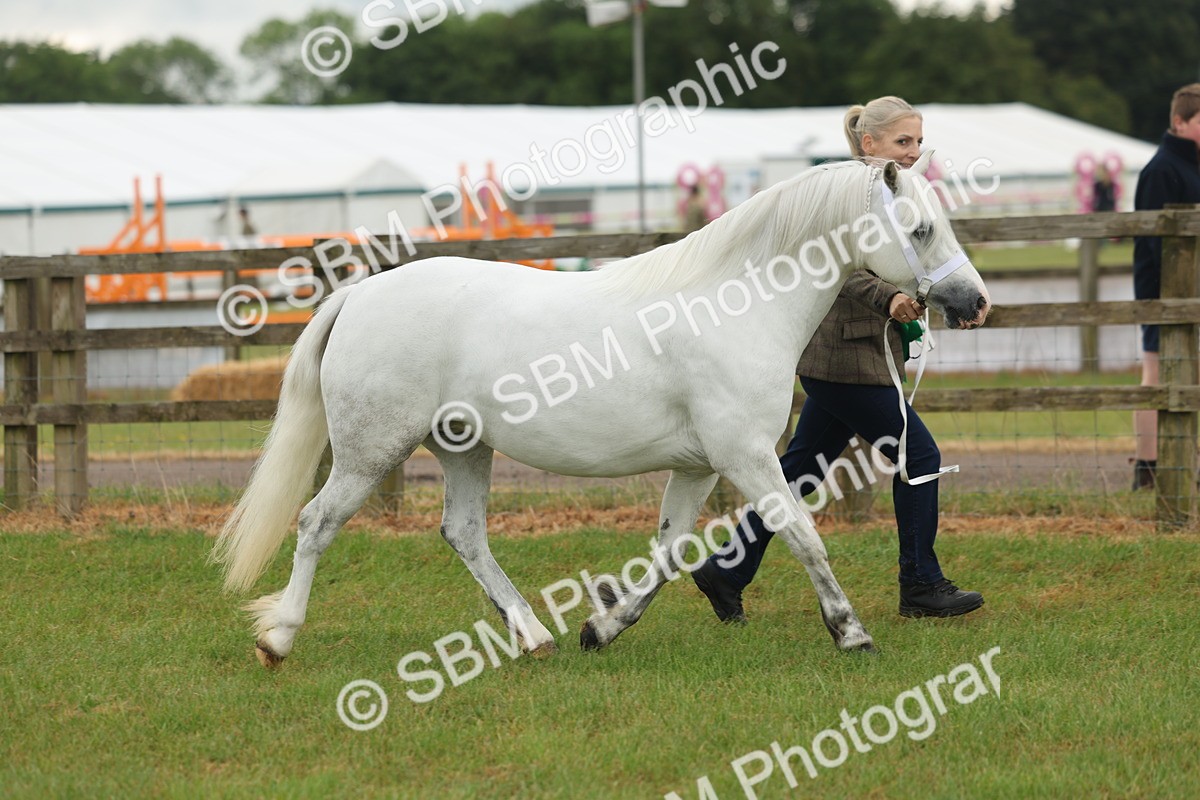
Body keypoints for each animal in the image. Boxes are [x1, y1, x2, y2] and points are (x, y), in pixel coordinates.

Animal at [212, 150, 990, 667]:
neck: (736, 306)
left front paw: (603, 627)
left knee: (464, 534)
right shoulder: (745, 457)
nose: (975, 303)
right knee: (316, 523)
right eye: (921, 229)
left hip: (464, 447)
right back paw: (278, 637)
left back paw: (533, 636)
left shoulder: (700, 468)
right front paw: (851, 632)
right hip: (370, 451)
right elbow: (803, 536)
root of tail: (360, 293)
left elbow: (670, 553)